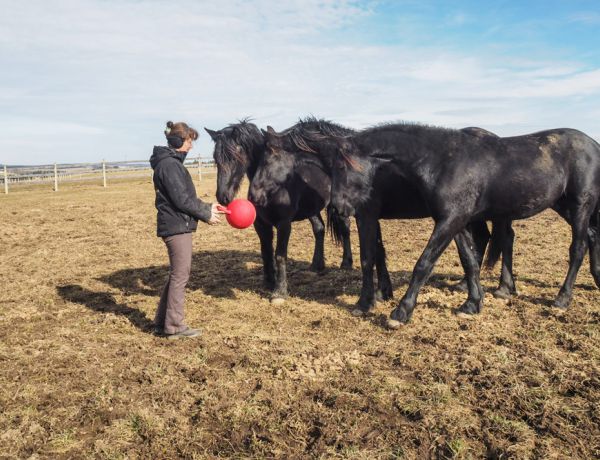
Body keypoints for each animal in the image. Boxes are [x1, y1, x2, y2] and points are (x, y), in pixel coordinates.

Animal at [206, 120, 354, 304]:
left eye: (236, 156)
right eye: (215, 159)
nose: (223, 196)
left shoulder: (284, 224)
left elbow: (279, 255)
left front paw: (279, 292)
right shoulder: (261, 224)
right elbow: (266, 251)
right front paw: (269, 281)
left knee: (345, 228)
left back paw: (346, 263)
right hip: (311, 208)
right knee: (319, 229)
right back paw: (316, 265)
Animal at [264, 118, 506, 314]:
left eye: (267, 159)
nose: (261, 194)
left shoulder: (366, 215)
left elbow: (368, 256)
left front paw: (369, 301)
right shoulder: (371, 217)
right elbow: (379, 252)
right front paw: (383, 292)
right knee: (483, 239)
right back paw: (467, 285)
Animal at [328, 123, 600, 328]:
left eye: (342, 166)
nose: (338, 207)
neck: (442, 161)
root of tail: (594, 145)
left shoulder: (450, 219)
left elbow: (424, 263)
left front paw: (401, 312)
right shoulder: (457, 221)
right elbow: (469, 260)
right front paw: (472, 304)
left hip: (580, 206)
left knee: (578, 248)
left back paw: (562, 299)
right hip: (563, 206)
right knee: (592, 235)